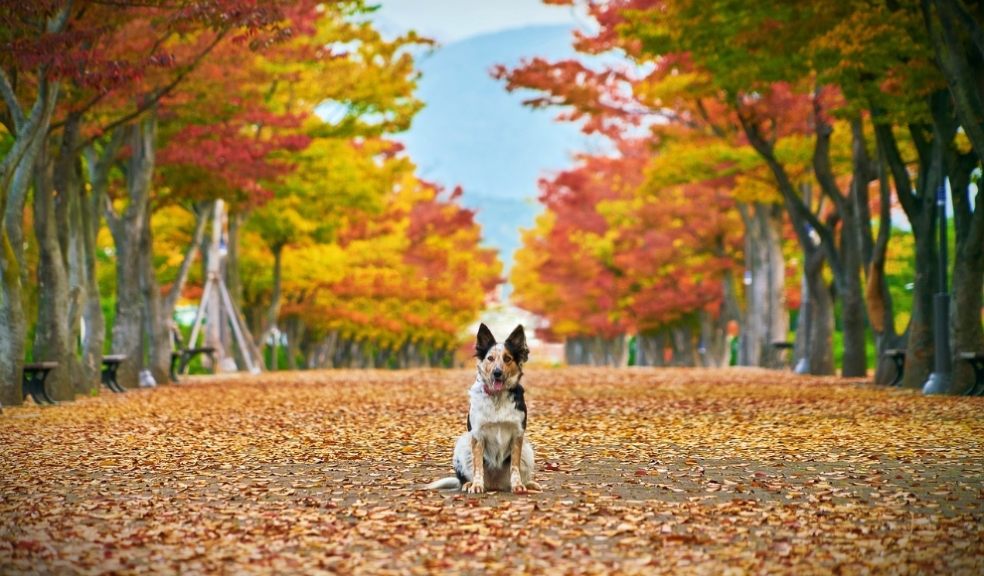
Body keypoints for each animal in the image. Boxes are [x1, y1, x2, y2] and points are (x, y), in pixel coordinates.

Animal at [426, 324, 540, 496]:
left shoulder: (517, 435)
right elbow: (478, 467)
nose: (497, 373)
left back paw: (529, 484)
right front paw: (476, 486)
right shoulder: (478, 435)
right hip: (464, 443)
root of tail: (495, 485)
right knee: (466, 476)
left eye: (507, 358)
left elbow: (515, 467)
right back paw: (468, 484)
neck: (497, 397)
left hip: (527, 449)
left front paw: (518, 485)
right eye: (490, 358)